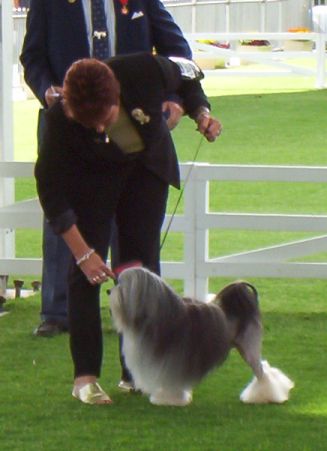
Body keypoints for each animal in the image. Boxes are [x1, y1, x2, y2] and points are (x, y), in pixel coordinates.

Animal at [109, 268, 294, 406]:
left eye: (122, 284)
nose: (108, 290)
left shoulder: (173, 358)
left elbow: (171, 380)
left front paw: (170, 399)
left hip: (248, 347)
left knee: (262, 372)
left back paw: (265, 396)